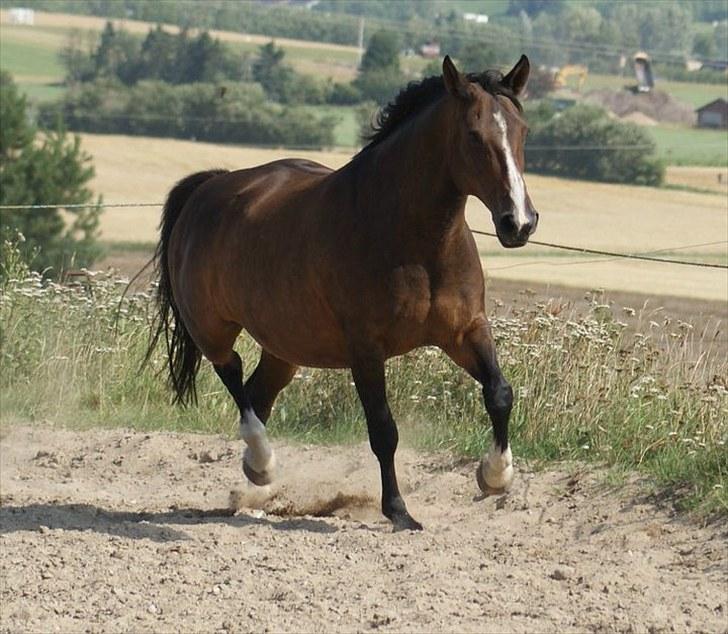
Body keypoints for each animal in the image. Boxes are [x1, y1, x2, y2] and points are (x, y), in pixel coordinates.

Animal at [148, 55, 536, 528]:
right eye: (473, 134)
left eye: (522, 131)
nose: (519, 222)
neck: (413, 239)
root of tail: (207, 189)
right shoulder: (366, 350)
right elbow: (383, 429)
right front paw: (398, 511)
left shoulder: (465, 332)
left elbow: (499, 393)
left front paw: (495, 476)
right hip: (212, 330)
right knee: (235, 378)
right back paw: (264, 461)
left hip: (285, 345)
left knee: (258, 393)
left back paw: (255, 476)